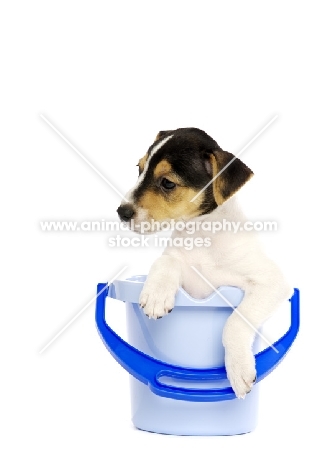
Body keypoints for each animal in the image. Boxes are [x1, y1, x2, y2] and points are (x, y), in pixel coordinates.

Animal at [117, 127, 292, 398]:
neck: (202, 235)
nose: (121, 212)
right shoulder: (184, 273)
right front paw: (157, 295)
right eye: (139, 168)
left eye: (167, 183)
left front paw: (239, 369)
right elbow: (165, 262)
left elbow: (235, 321)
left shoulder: (272, 283)